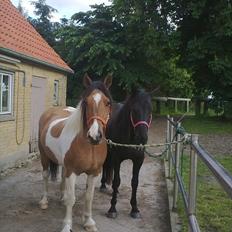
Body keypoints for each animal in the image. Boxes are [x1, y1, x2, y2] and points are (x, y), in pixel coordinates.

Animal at [38, 74, 112, 232]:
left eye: (108, 102)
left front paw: (89, 222)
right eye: (86, 102)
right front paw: (67, 225)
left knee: (62, 178)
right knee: (45, 176)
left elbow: (89, 197)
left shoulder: (94, 172)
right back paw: (44, 201)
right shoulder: (72, 171)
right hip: (44, 157)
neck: (89, 146)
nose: (95, 135)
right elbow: (72, 199)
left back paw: (62, 197)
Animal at [99, 88, 152, 218]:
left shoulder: (138, 160)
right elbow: (116, 181)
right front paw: (112, 209)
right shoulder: (117, 159)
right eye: (134, 110)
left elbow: (135, 182)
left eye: (150, 110)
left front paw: (135, 209)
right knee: (105, 166)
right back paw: (103, 185)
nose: (142, 137)